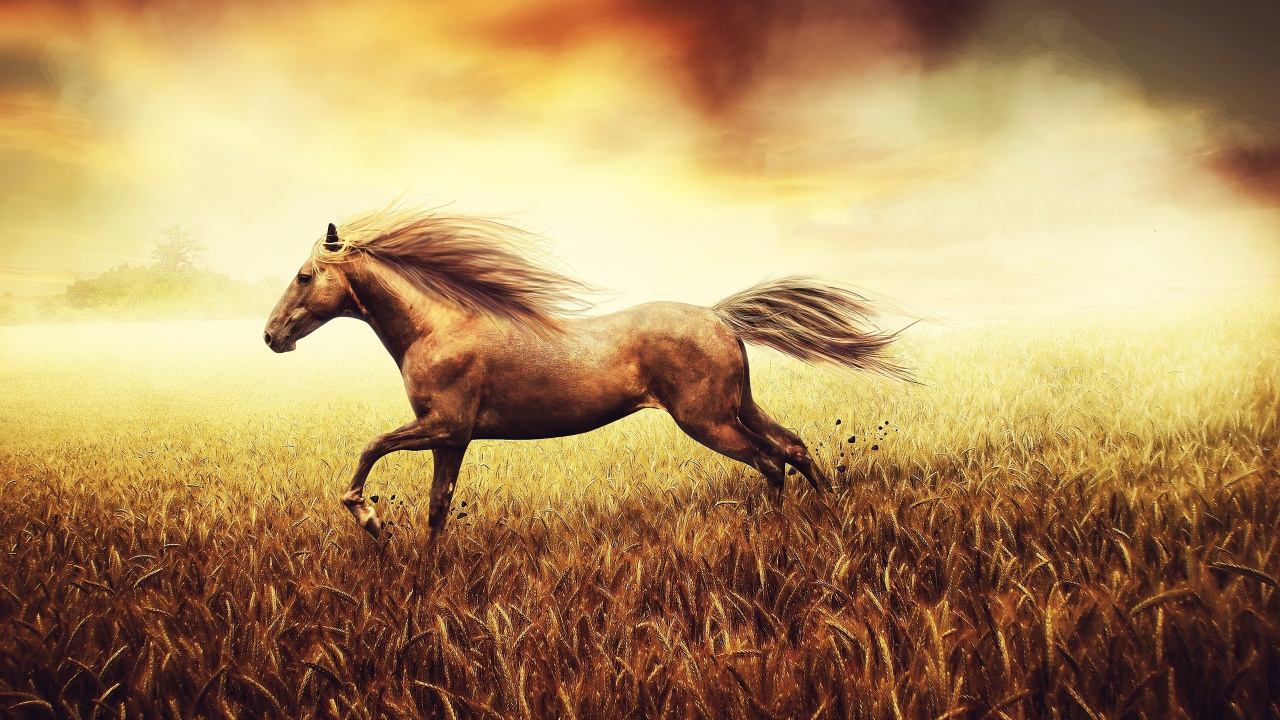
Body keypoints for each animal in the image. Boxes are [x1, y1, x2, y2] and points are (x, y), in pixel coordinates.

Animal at [264, 204, 908, 540]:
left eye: (303, 275)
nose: (271, 336)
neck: (436, 328)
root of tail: (720, 316)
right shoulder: (451, 439)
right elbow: (437, 510)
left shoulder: (444, 426)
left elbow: (371, 448)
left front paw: (369, 518)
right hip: (736, 406)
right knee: (793, 446)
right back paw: (829, 514)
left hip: (706, 420)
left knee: (770, 460)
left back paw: (776, 535)